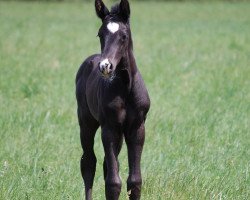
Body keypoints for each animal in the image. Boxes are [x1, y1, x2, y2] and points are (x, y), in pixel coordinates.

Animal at [75, 0, 150, 199]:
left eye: (124, 36)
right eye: (100, 34)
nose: (105, 66)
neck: (126, 88)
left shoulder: (137, 128)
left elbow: (135, 181)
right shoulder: (108, 127)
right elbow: (113, 183)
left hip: (120, 133)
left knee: (105, 165)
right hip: (86, 122)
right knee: (88, 162)